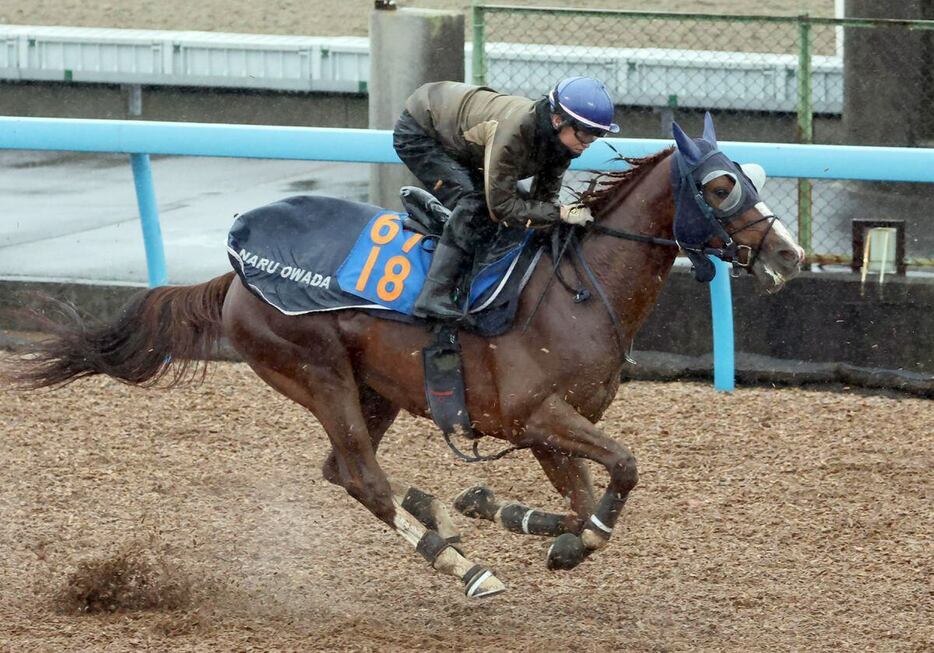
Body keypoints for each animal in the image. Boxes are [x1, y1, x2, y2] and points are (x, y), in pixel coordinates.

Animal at [5, 113, 804, 596]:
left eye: (753, 176)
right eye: (721, 184)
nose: (790, 255)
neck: (576, 288)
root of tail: (233, 272)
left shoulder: (547, 430)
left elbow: (581, 503)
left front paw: (510, 515)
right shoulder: (534, 415)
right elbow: (623, 472)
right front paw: (544, 533)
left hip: (375, 387)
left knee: (345, 472)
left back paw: (443, 520)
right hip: (315, 369)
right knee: (362, 477)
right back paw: (464, 567)